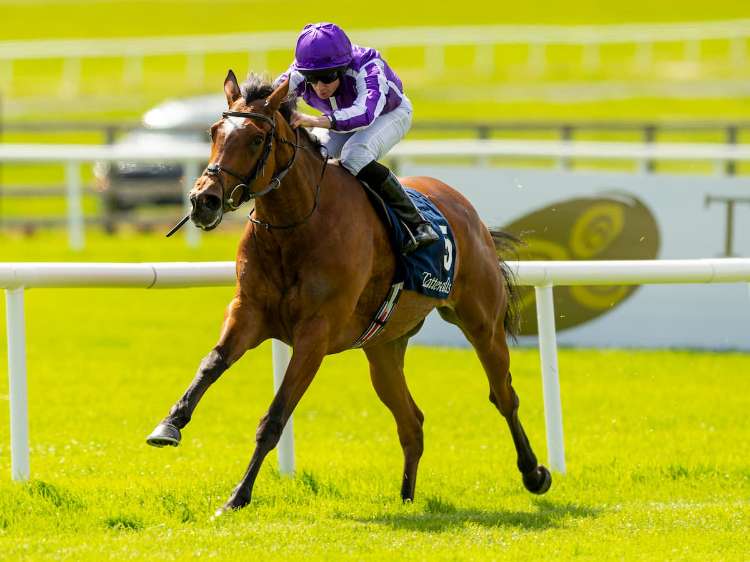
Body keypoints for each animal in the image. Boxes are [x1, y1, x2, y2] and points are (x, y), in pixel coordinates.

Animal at [147, 71, 551, 516]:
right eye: (214, 132)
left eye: (255, 138)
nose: (204, 200)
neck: (296, 225)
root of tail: (468, 211)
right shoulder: (248, 312)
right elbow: (212, 362)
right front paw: (169, 424)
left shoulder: (315, 334)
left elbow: (276, 416)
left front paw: (238, 496)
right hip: (383, 348)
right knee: (412, 422)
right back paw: (406, 498)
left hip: (481, 323)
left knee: (504, 395)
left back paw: (534, 473)